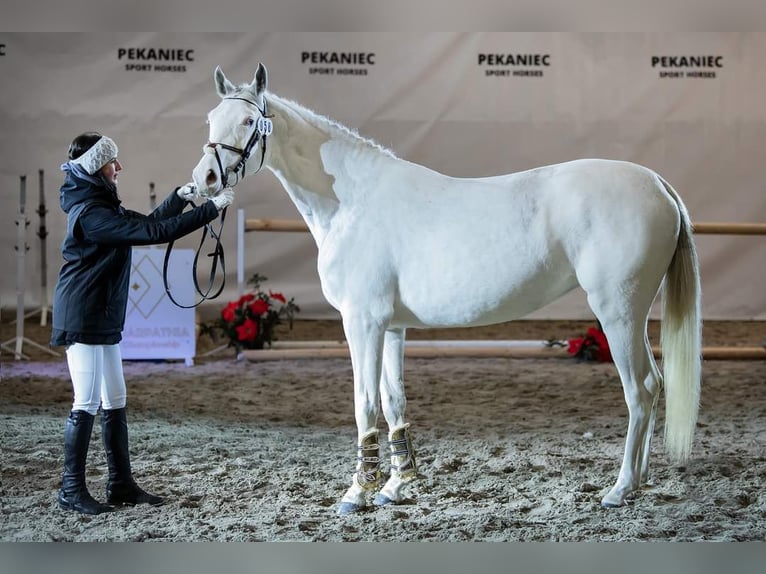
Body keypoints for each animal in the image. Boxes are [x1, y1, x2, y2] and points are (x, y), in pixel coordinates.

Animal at [192, 64, 704, 516]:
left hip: (618, 312)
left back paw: (620, 488)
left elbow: (364, 404)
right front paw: (396, 486)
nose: (205, 181)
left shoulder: (362, 322)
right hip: (632, 315)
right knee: (655, 384)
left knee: (639, 389)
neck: (353, 202)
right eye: (210, 119)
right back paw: (639, 481)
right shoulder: (391, 326)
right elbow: (393, 400)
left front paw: (357, 494)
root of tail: (656, 183)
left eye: (248, 121)